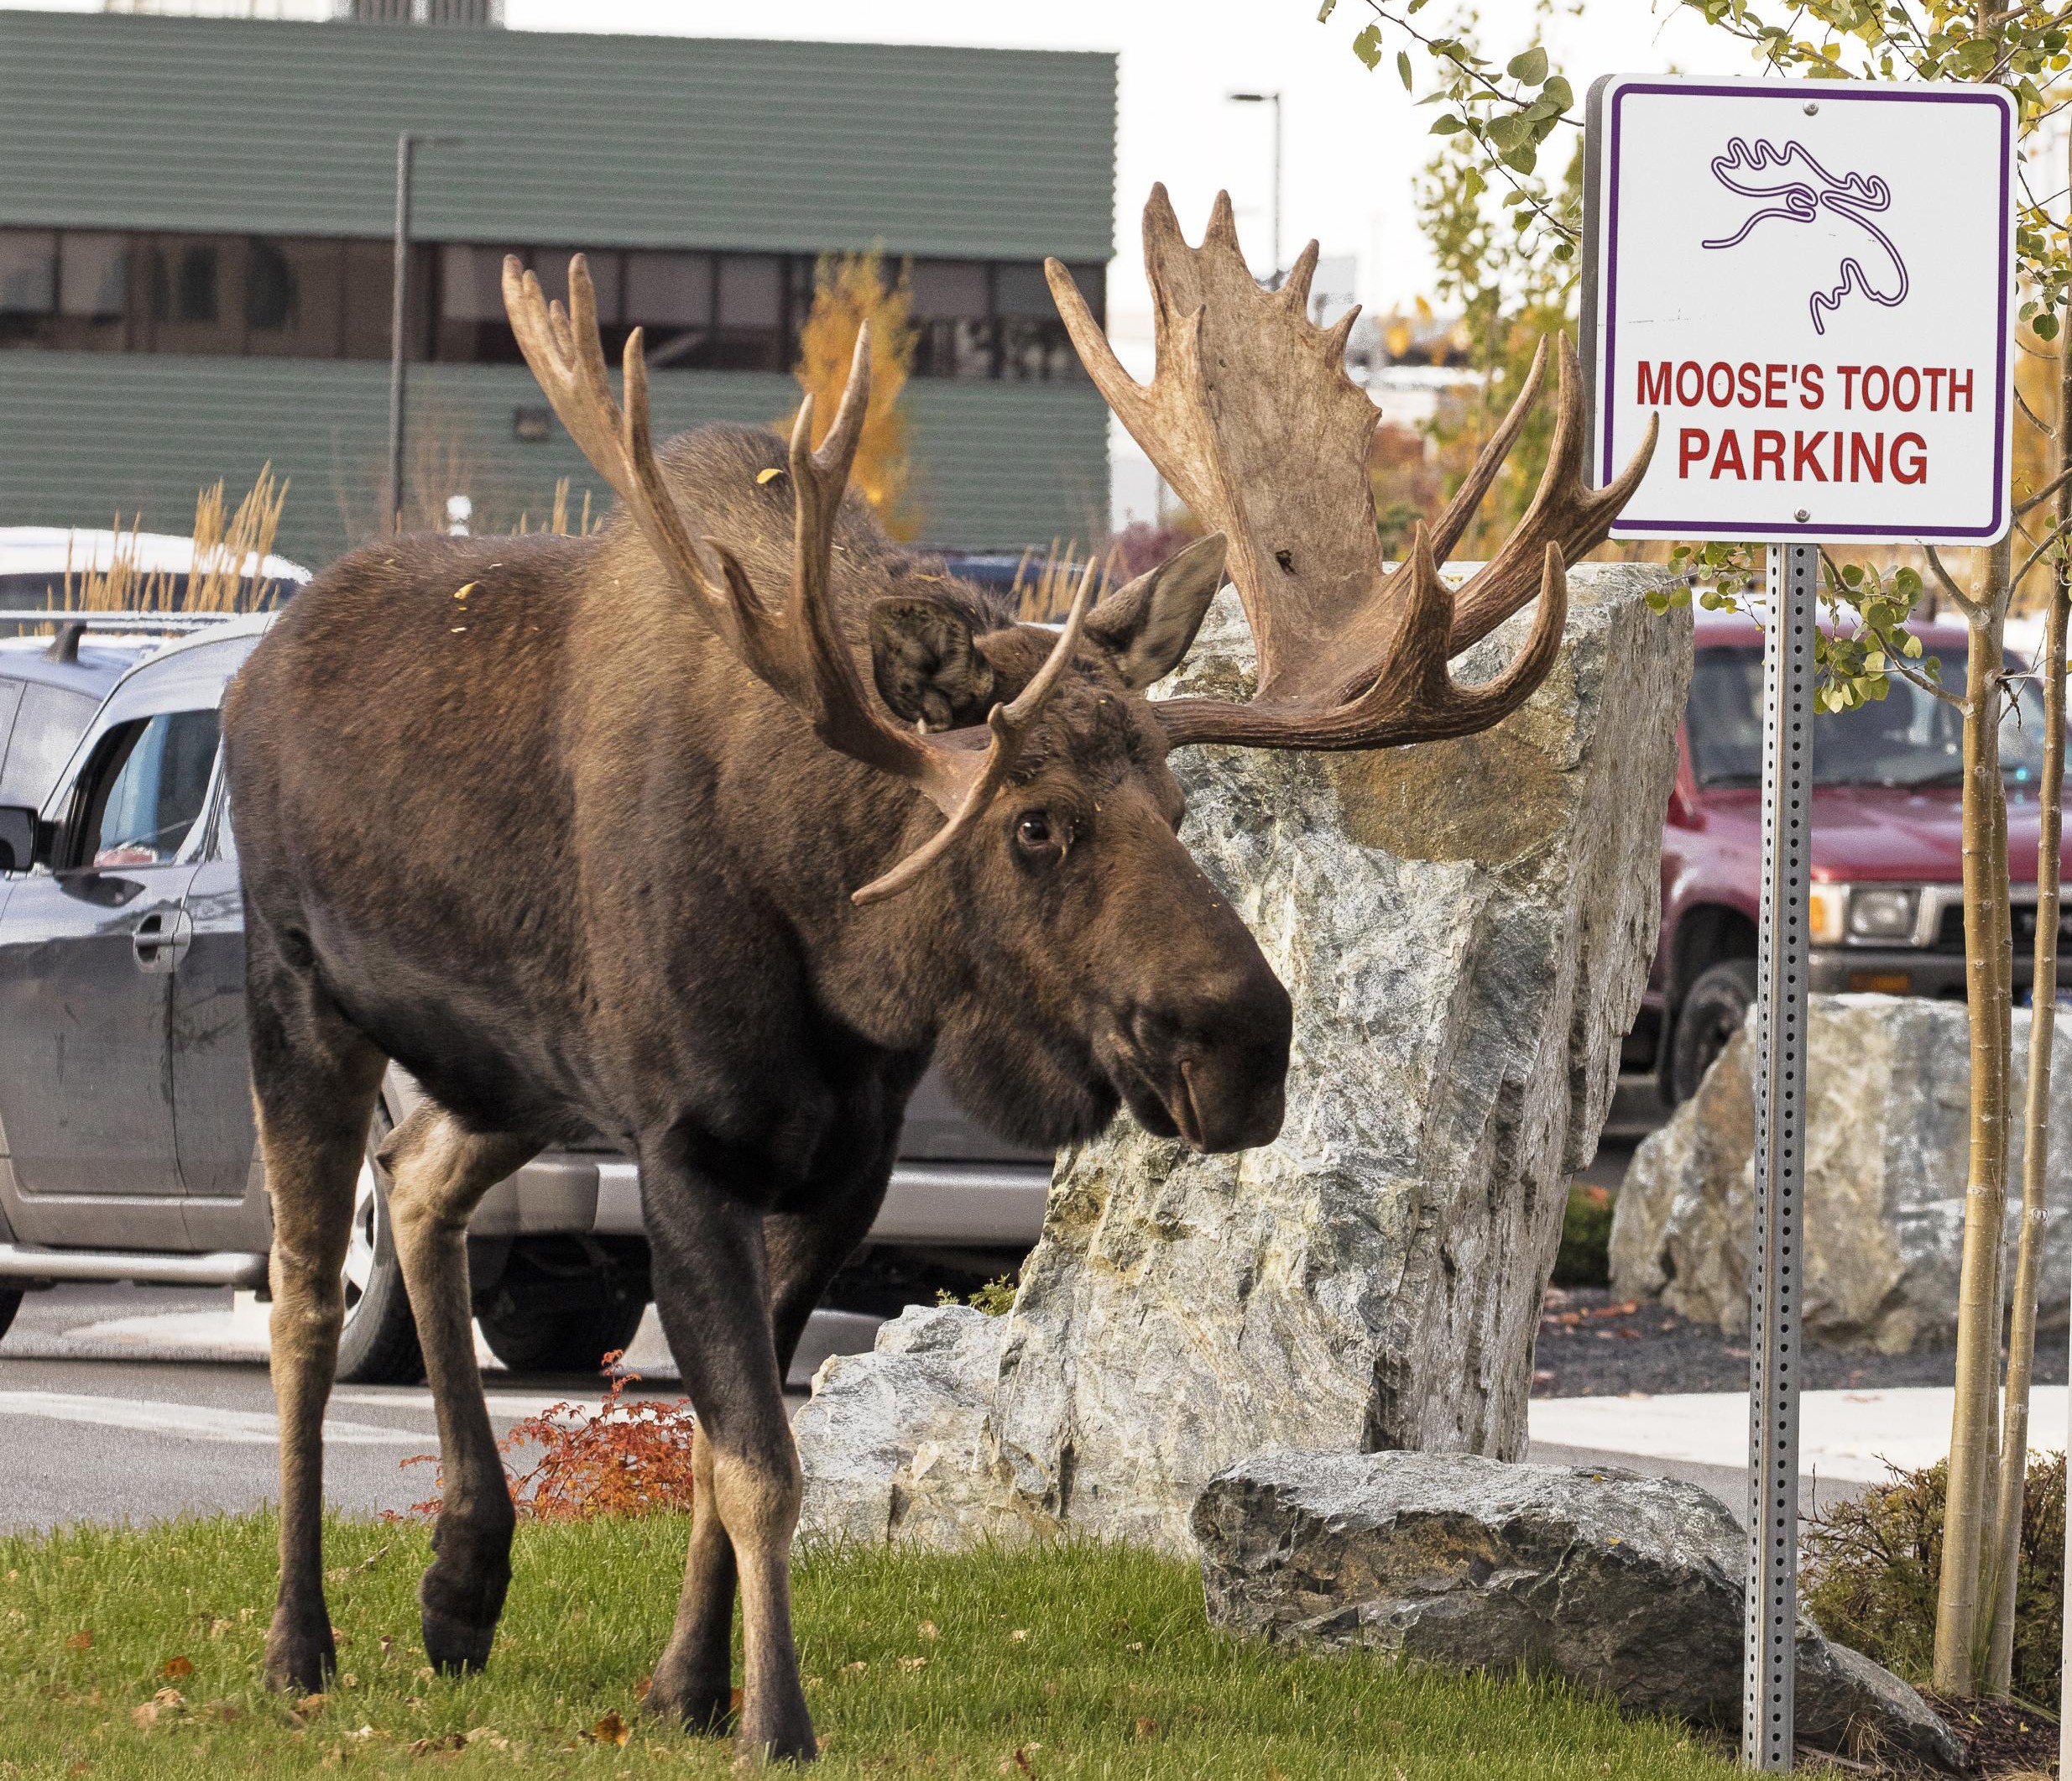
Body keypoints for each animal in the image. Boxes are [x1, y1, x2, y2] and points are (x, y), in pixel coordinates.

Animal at [222, 182, 1654, 1764]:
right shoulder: (683, 1143)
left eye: (1177, 800)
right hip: (300, 996)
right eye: (1034, 823)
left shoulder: (839, 1161)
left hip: (517, 1069)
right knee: (300, 1299)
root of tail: (252, 662)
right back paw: (298, 1642)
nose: (1243, 1041)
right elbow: (760, 1464)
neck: (842, 951)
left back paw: (461, 1586)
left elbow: (731, 1456)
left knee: (417, 1177)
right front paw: (773, 1720)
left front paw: (686, 1688)